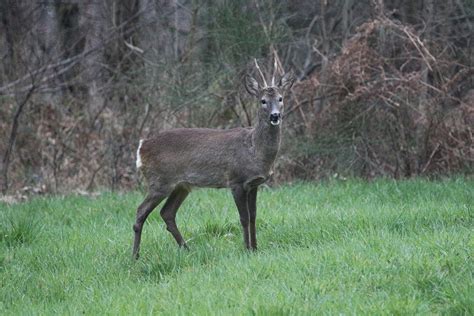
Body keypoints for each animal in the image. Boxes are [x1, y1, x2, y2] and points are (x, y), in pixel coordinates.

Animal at [133, 60, 294, 258]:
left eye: (281, 98)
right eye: (263, 101)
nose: (275, 115)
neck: (254, 150)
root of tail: (142, 147)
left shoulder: (254, 183)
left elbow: (254, 216)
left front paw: (256, 248)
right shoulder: (236, 181)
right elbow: (244, 218)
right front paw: (247, 249)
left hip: (181, 185)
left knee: (167, 213)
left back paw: (187, 249)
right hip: (159, 181)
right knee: (141, 211)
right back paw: (135, 256)